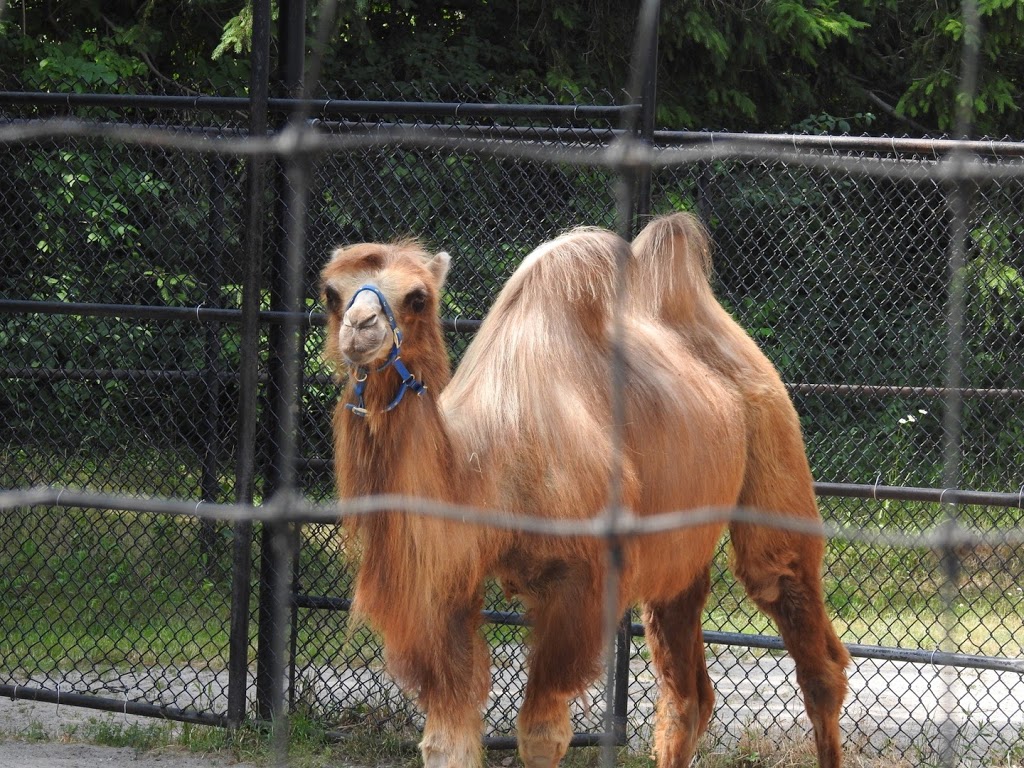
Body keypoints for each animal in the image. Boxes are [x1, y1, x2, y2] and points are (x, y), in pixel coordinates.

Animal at [319, 211, 847, 768]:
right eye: (331, 293)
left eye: (418, 297)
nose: (360, 328)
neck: (487, 463)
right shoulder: (444, 589)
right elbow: (447, 740)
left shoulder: (577, 580)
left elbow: (541, 734)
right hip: (678, 544)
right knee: (687, 693)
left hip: (773, 431)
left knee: (797, 619)